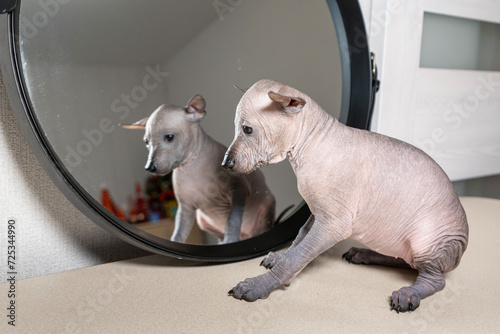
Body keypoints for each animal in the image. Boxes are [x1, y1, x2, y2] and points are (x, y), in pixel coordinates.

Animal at [123, 94, 276, 243]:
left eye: (170, 137)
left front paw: (231, 238)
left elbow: (232, 220)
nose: (149, 167)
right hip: (202, 220)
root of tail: (248, 235)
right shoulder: (185, 208)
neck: (191, 167)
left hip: (266, 208)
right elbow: (178, 234)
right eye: (146, 142)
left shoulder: (239, 190)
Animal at [223, 79, 468, 312]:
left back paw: (409, 293)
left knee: (434, 280)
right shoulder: (317, 213)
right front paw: (279, 257)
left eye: (247, 129)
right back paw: (364, 254)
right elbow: (299, 239)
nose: (225, 164)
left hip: (429, 241)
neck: (310, 142)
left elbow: (297, 257)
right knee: (406, 262)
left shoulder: (333, 223)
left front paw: (258, 285)